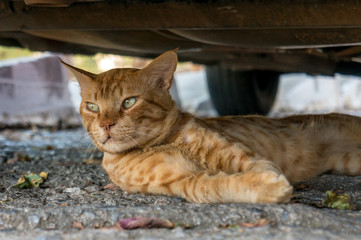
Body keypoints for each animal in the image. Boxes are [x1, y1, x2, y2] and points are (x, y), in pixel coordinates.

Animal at [61, 50, 360, 202]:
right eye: (92, 107)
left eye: (129, 102)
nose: (106, 124)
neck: (163, 143)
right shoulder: (181, 182)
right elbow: (215, 186)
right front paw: (267, 188)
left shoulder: (241, 155)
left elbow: (260, 166)